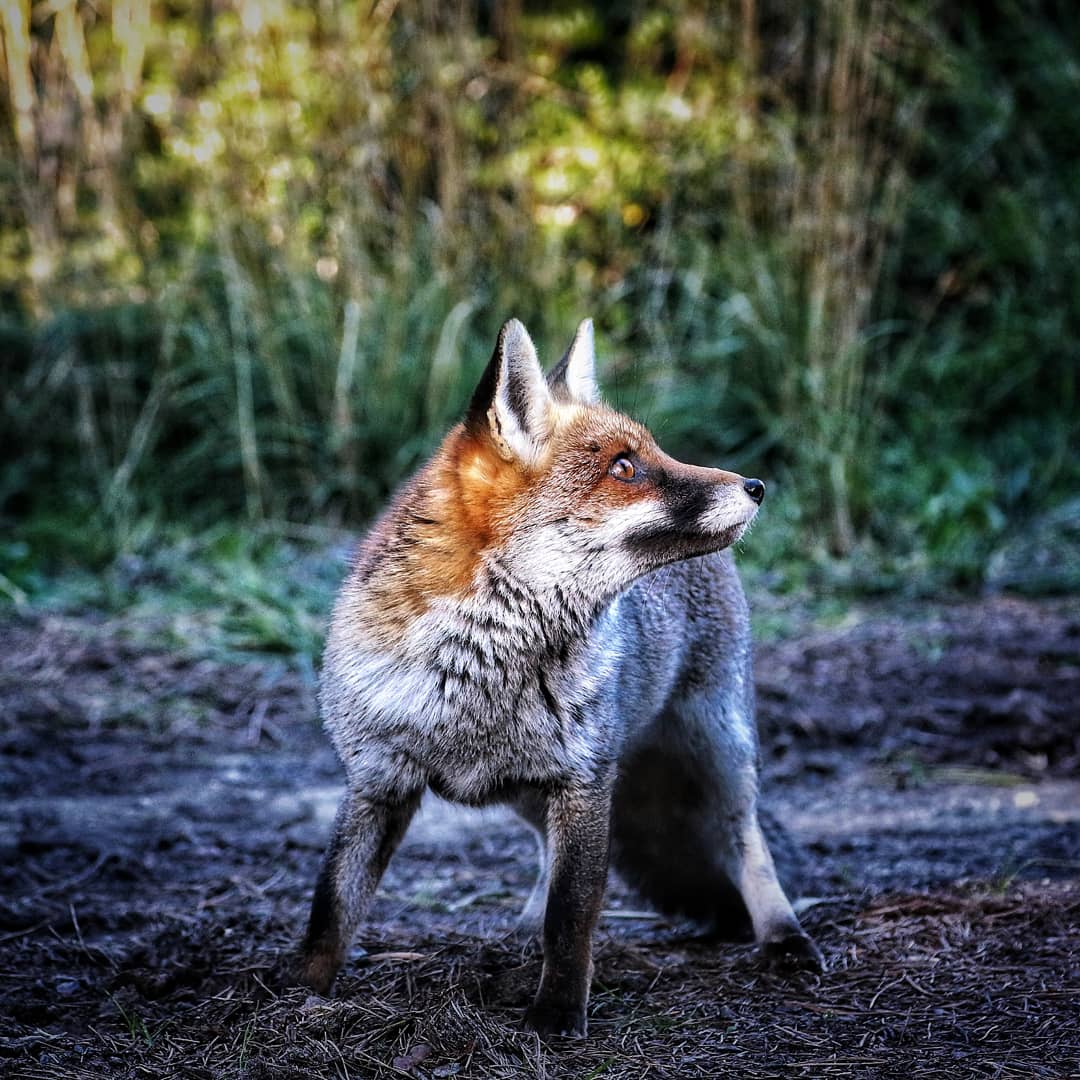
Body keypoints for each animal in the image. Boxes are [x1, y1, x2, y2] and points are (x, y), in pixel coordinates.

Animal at [297, 317, 822, 1037]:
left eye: (657, 452)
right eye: (624, 467)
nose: (756, 486)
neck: (474, 671)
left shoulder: (584, 778)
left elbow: (573, 915)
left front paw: (556, 1015)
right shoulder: (377, 781)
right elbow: (332, 907)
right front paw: (296, 996)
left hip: (718, 745)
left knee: (746, 841)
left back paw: (783, 935)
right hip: (535, 787)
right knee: (546, 857)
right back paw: (518, 934)